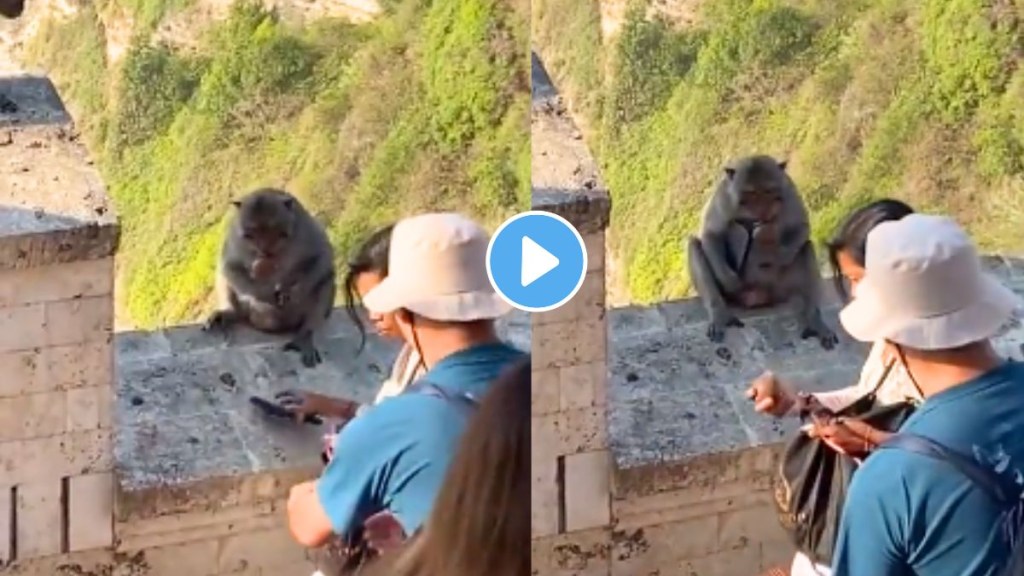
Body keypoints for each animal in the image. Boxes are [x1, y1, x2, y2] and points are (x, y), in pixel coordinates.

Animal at [203, 188, 336, 368]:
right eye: (251, 234)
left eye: (274, 229)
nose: (264, 251)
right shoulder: (235, 239)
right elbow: (229, 265)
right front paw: (265, 293)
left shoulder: (304, 230)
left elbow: (322, 256)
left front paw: (293, 291)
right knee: (225, 277)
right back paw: (229, 312)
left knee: (325, 280)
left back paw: (305, 335)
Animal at [686, 155, 838, 350]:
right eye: (750, 193)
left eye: (768, 191)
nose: (762, 210)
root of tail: (756, 298)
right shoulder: (723, 195)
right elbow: (712, 233)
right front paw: (729, 278)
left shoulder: (788, 188)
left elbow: (801, 226)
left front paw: (774, 255)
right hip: (736, 294)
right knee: (695, 244)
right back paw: (719, 314)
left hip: (779, 288)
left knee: (806, 247)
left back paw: (814, 320)